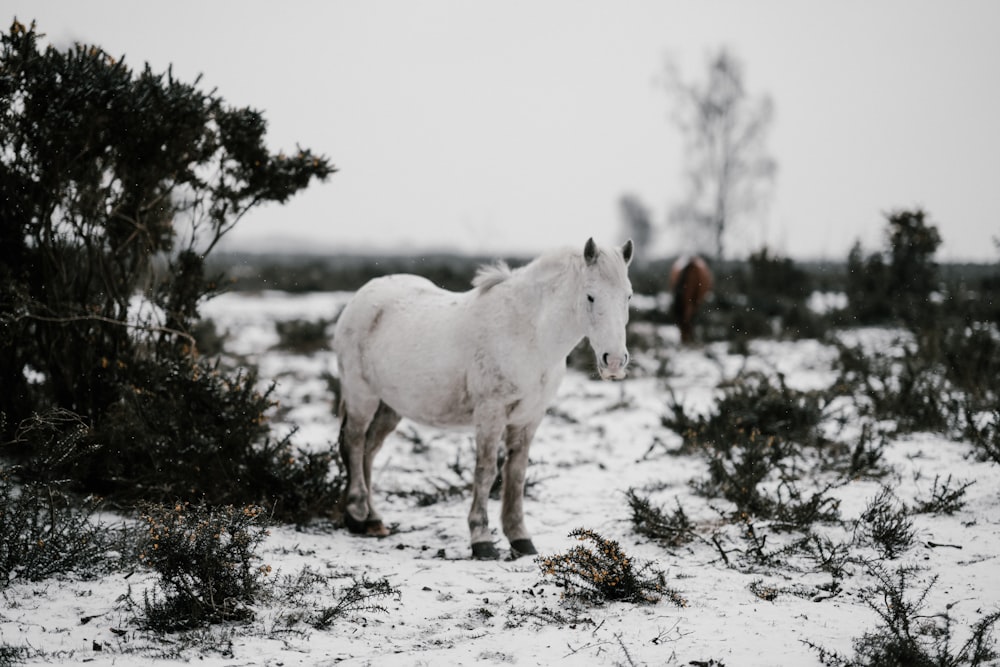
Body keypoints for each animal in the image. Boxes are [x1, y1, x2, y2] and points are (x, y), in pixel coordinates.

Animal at [334, 237, 632, 560]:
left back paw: (373, 520)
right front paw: (482, 540)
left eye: (628, 296)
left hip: (390, 407)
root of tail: (362, 296)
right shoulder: (491, 413)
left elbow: (516, 474)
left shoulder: (530, 417)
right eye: (590, 297)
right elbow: (486, 471)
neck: (529, 334)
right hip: (362, 396)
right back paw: (356, 514)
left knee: (369, 450)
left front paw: (520, 538)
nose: (615, 362)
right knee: (354, 443)